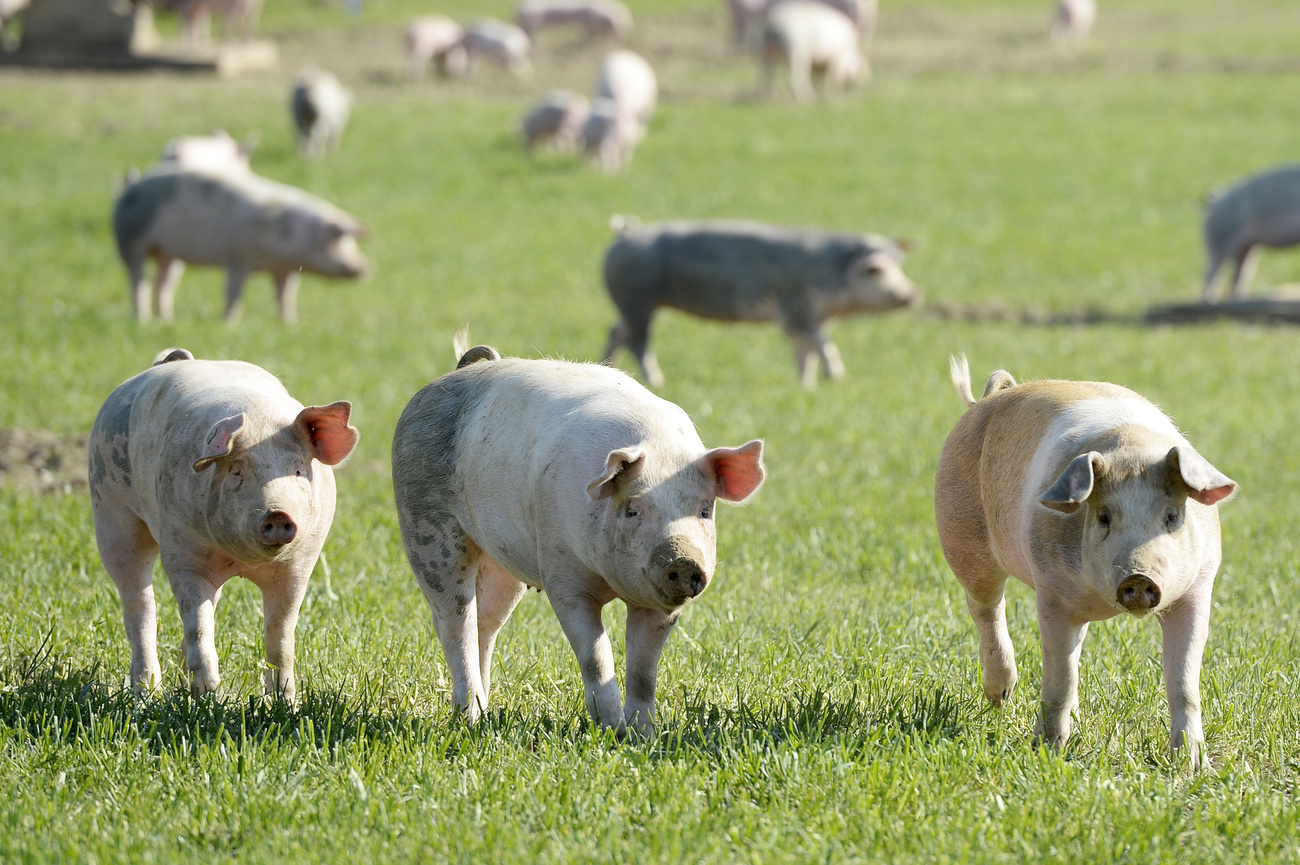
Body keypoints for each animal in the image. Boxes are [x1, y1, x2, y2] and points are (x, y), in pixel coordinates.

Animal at [89, 347, 358, 701]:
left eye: (299, 470)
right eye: (237, 471)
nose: (278, 514)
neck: (243, 561)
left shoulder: (300, 564)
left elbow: (281, 636)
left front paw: (284, 702)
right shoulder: (182, 554)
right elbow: (197, 625)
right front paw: (209, 694)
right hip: (111, 512)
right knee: (139, 603)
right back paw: (147, 694)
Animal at [112, 167, 370, 325]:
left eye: (350, 241)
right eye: (334, 238)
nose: (365, 268)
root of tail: (130, 186)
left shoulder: (285, 269)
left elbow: (285, 296)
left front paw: (289, 323)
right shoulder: (237, 257)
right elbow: (234, 293)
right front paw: (229, 323)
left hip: (168, 253)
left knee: (163, 283)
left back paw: (166, 320)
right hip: (130, 239)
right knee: (138, 281)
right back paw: (142, 321)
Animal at [392, 332, 765, 735]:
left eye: (704, 510)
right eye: (633, 509)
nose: (681, 559)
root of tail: (463, 370)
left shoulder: (660, 606)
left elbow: (644, 672)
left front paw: (644, 735)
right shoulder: (563, 577)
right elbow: (596, 655)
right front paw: (612, 729)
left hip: (502, 561)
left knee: (486, 624)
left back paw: (485, 714)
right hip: (425, 526)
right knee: (454, 622)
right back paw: (469, 718)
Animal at [602, 219, 917, 387]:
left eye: (899, 266)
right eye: (875, 271)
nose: (912, 294)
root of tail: (626, 233)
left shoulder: (814, 318)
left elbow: (806, 352)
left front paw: (806, 385)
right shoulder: (795, 309)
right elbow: (823, 345)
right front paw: (835, 379)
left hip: (632, 304)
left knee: (616, 333)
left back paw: (610, 368)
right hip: (637, 300)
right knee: (638, 342)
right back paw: (657, 382)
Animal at [934, 356, 1238, 768]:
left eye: (1172, 517)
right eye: (1104, 517)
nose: (1138, 577)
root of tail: (992, 397)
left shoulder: (1198, 588)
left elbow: (1184, 683)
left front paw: (1193, 767)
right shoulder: (1051, 591)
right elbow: (1058, 678)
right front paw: (1048, 753)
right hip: (961, 534)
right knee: (986, 607)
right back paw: (1002, 697)